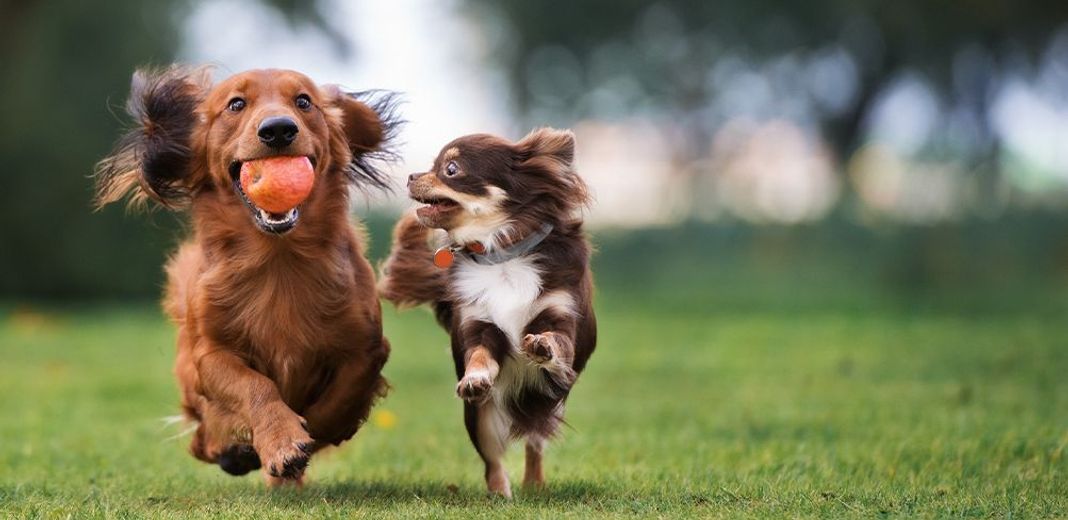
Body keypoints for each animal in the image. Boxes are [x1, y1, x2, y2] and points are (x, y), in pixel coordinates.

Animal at [380, 125, 598, 497]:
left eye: (451, 169)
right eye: (432, 165)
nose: (411, 176)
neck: (502, 254)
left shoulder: (561, 316)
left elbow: (557, 340)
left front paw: (542, 345)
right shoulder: (478, 325)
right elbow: (480, 355)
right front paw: (476, 377)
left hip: (549, 403)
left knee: (534, 443)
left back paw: (534, 484)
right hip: (480, 418)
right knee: (493, 460)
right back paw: (499, 494)